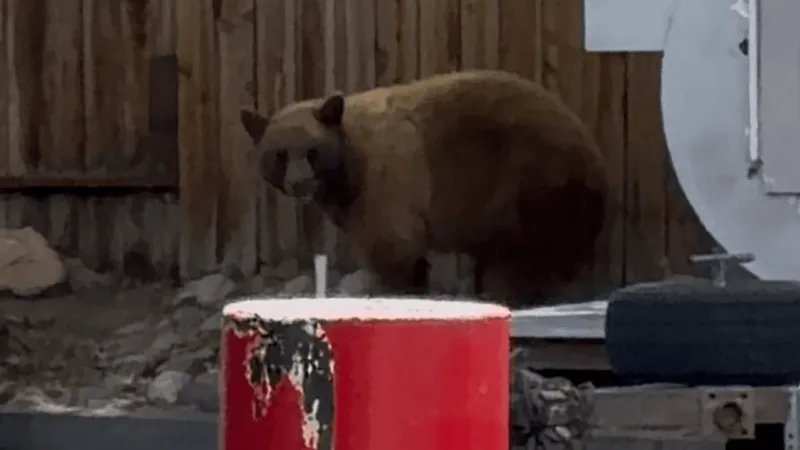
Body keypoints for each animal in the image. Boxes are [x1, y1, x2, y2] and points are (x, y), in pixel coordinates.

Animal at [240, 69, 609, 307]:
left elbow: (393, 248)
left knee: (532, 257)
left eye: (312, 151)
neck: (349, 170)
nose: (298, 182)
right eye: (280, 154)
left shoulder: (386, 184)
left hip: (530, 185)